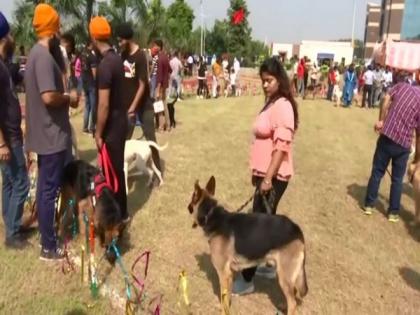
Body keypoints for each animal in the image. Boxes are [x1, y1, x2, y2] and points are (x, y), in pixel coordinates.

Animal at [189, 178, 306, 315]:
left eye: (191, 199)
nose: (188, 207)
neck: (211, 214)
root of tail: (297, 230)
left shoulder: (223, 273)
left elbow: (224, 299)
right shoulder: (229, 274)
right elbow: (227, 298)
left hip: (284, 276)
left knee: (293, 302)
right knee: (294, 295)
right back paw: (283, 306)